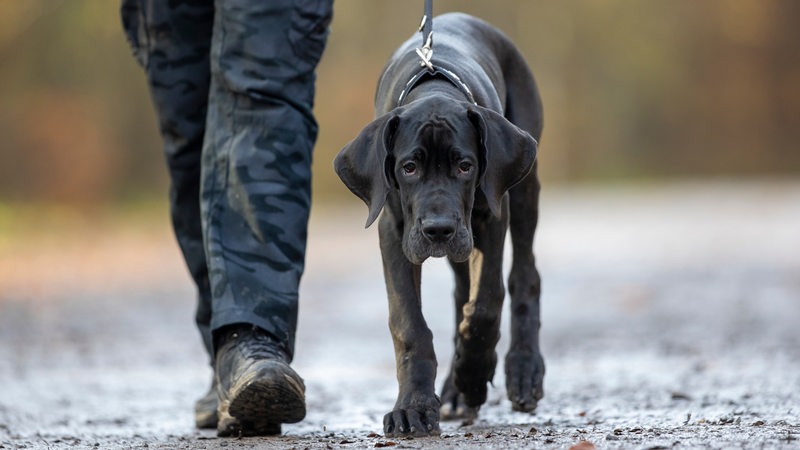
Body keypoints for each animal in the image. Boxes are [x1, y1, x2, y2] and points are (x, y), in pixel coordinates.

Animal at [332, 13, 544, 436]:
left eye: (465, 166)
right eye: (408, 167)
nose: (438, 230)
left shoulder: (491, 218)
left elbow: (486, 303)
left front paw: (473, 375)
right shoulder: (394, 231)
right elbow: (409, 322)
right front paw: (413, 407)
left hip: (522, 190)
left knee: (524, 276)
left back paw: (522, 368)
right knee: (462, 294)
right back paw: (456, 388)